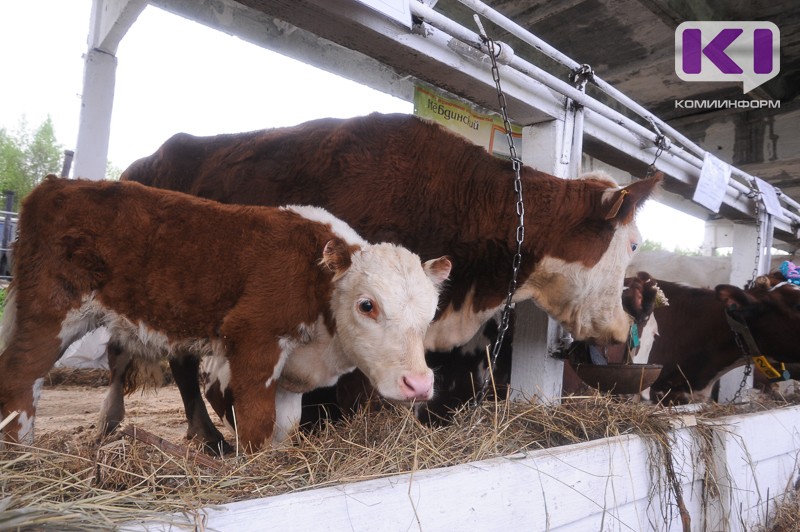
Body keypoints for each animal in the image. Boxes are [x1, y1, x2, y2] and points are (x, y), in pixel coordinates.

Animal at [0, 177, 450, 450]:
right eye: (367, 304)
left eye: (430, 315)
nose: (419, 384)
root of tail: (55, 185)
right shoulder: (252, 338)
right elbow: (256, 420)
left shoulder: (290, 372)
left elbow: (284, 426)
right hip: (51, 309)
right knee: (21, 375)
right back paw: (23, 452)